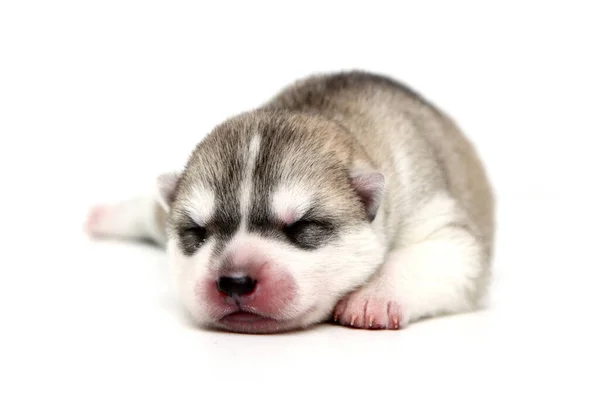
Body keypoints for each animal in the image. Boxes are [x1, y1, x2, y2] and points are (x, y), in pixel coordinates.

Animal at [86, 70, 494, 332]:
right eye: (196, 232)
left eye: (301, 226)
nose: (234, 281)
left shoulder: (434, 212)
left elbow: (449, 251)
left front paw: (375, 296)